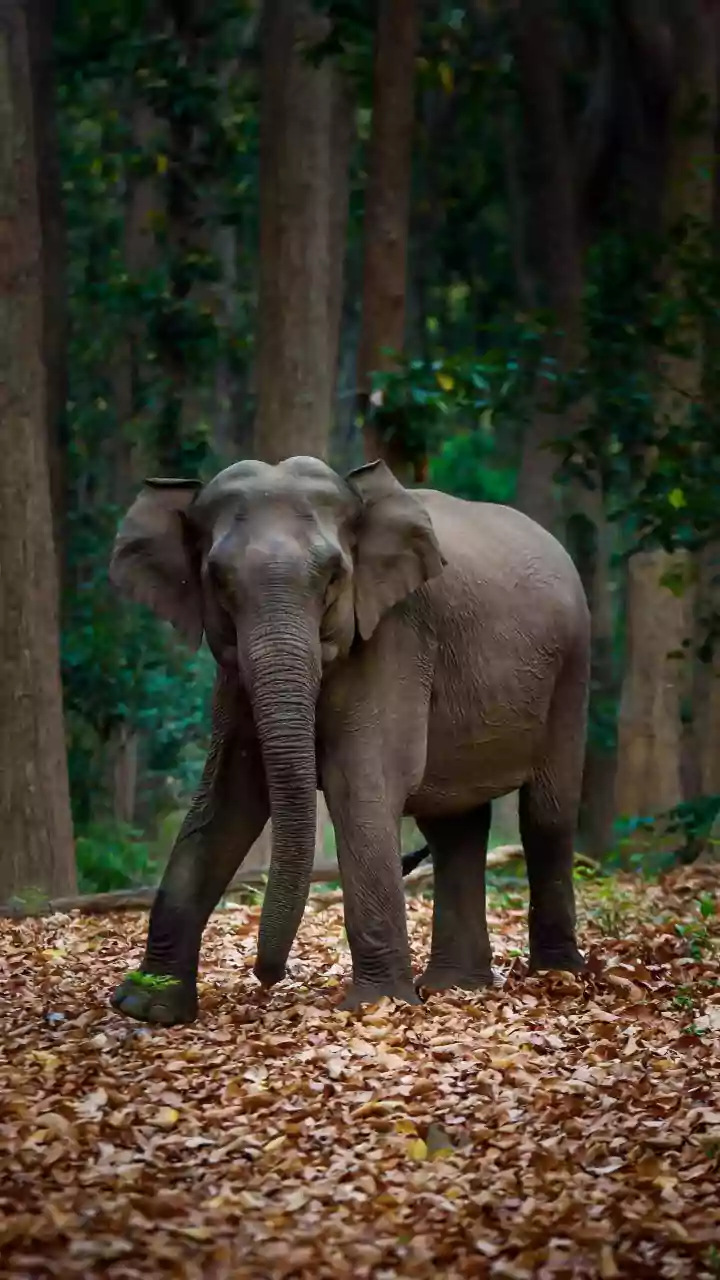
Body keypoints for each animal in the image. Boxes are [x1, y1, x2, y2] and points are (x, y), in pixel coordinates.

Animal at [108, 455, 590, 1025]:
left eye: (334, 576)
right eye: (218, 580)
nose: (267, 976)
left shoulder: (395, 634)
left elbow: (360, 786)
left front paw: (379, 1006)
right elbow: (229, 799)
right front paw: (146, 1005)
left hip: (572, 670)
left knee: (546, 814)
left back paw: (556, 977)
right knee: (455, 827)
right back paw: (455, 987)